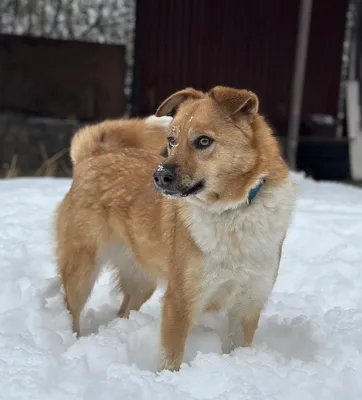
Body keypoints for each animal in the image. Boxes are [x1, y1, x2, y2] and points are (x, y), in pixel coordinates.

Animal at [55, 86, 296, 370]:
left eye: (203, 141)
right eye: (172, 140)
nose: (159, 176)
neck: (231, 212)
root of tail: (93, 156)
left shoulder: (248, 304)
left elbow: (237, 348)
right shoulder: (180, 301)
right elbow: (170, 359)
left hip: (141, 282)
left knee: (123, 311)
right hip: (81, 271)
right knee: (72, 310)